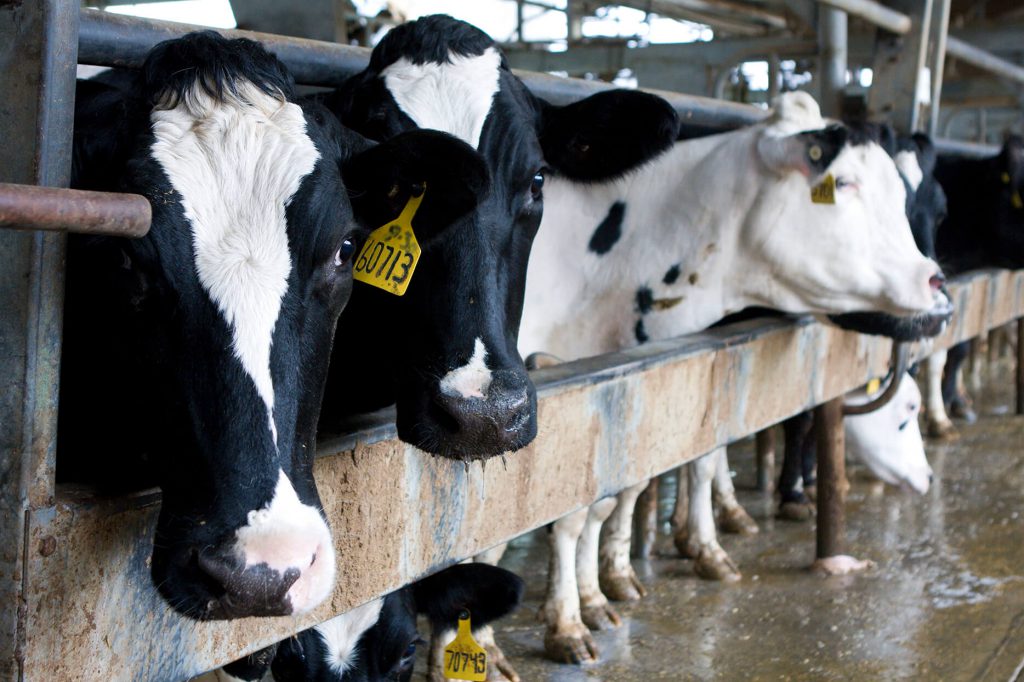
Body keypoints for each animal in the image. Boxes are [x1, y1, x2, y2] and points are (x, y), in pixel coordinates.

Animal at [515, 91, 952, 663]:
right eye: (846, 184)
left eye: (931, 207)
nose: (938, 287)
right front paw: (566, 622)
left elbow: (654, 476)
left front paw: (627, 577)